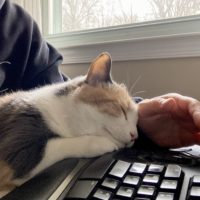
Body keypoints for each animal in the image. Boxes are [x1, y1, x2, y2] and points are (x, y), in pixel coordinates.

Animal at [0, 52, 138, 198]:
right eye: (122, 110)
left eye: (136, 121)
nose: (135, 135)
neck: (57, 110)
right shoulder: (19, 151)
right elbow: (60, 144)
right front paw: (100, 143)